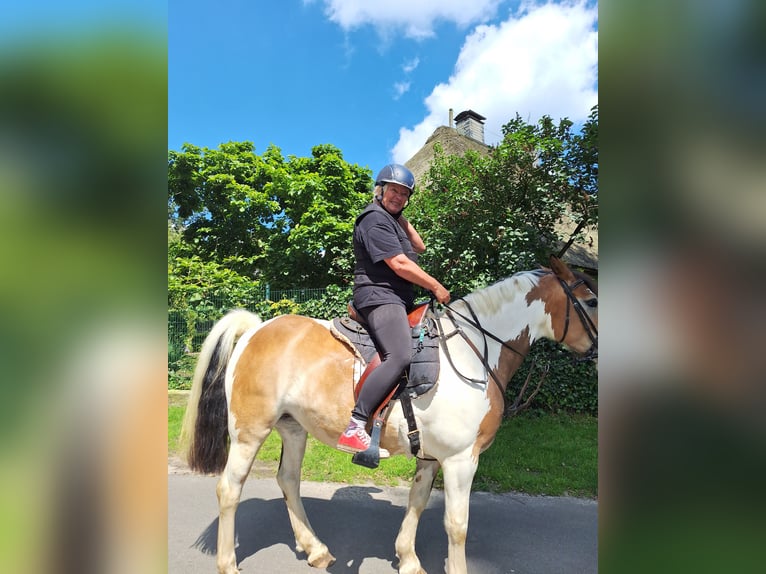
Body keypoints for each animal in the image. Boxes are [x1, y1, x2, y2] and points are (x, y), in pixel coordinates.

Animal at [182, 258, 600, 574]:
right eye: (592, 300)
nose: (599, 349)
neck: (471, 354)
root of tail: (256, 329)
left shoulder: (432, 457)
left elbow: (417, 501)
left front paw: (408, 559)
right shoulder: (461, 460)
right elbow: (457, 525)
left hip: (293, 429)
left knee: (288, 480)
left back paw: (315, 548)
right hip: (250, 431)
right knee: (229, 489)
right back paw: (228, 564)